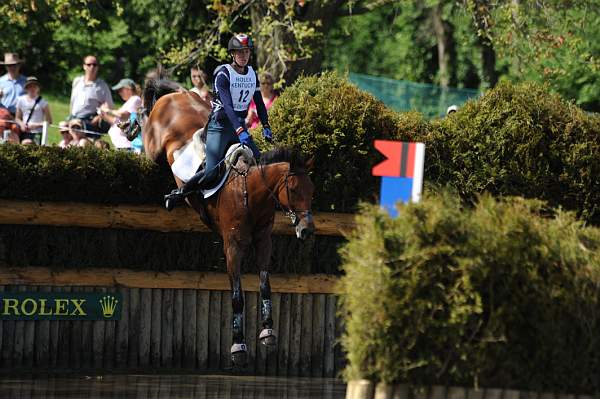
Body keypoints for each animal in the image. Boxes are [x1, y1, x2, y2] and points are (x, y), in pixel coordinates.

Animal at [140, 79, 316, 368]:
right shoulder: (232, 246)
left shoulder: (263, 241)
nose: (307, 230)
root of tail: (175, 95)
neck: (249, 193)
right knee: (146, 126)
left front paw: (268, 332)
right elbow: (237, 295)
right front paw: (238, 346)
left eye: (312, 191)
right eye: (292, 189)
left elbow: (265, 284)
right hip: (153, 146)